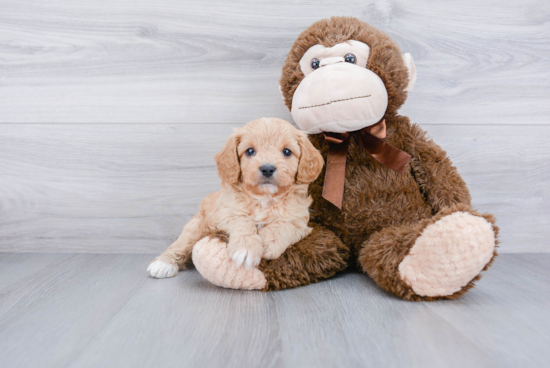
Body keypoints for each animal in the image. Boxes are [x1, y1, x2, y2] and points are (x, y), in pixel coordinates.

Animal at [149, 118, 326, 278]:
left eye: (287, 152)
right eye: (250, 151)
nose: (267, 169)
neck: (264, 199)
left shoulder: (300, 222)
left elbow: (283, 225)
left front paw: (267, 242)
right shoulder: (226, 212)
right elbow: (242, 221)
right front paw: (246, 249)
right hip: (196, 227)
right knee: (180, 245)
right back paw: (163, 264)